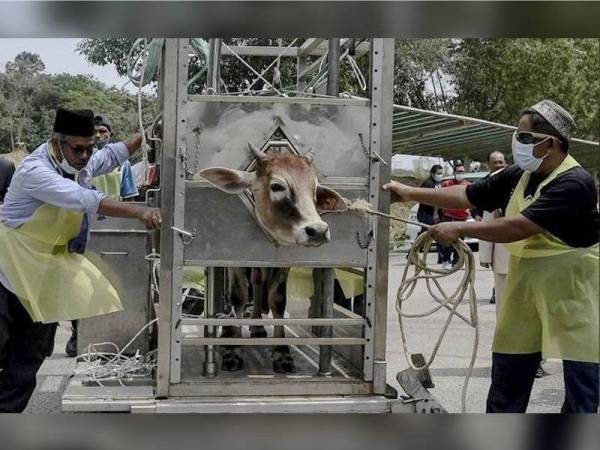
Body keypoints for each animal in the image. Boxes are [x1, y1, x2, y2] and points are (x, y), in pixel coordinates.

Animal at [199, 144, 346, 372]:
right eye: (277, 186)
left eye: (314, 189)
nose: (318, 231)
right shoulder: (233, 259)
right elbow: (238, 296)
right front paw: (233, 349)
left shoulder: (281, 261)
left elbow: (277, 300)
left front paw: (282, 353)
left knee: (258, 282)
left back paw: (257, 326)